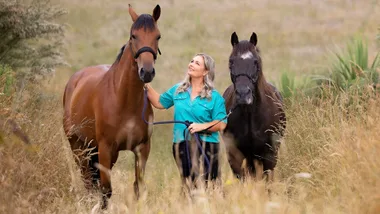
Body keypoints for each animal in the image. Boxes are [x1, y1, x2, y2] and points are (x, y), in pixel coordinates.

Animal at [63, 4, 161, 210]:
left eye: (157, 36)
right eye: (133, 35)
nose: (147, 72)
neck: (125, 101)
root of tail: (75, 80)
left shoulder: (141, 148)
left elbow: (138, 187)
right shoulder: (106, 148)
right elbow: (106, 191)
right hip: (79, 148)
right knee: (88, 182)